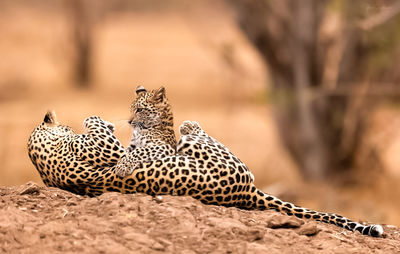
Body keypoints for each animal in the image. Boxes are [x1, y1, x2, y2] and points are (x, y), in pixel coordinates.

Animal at [26, 94, 382, 238]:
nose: (55, 118)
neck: (44, 164)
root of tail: (247, 192)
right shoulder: (104, 148)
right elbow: (100, 130)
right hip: (210, 152)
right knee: (192, 133)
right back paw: (188, 123)